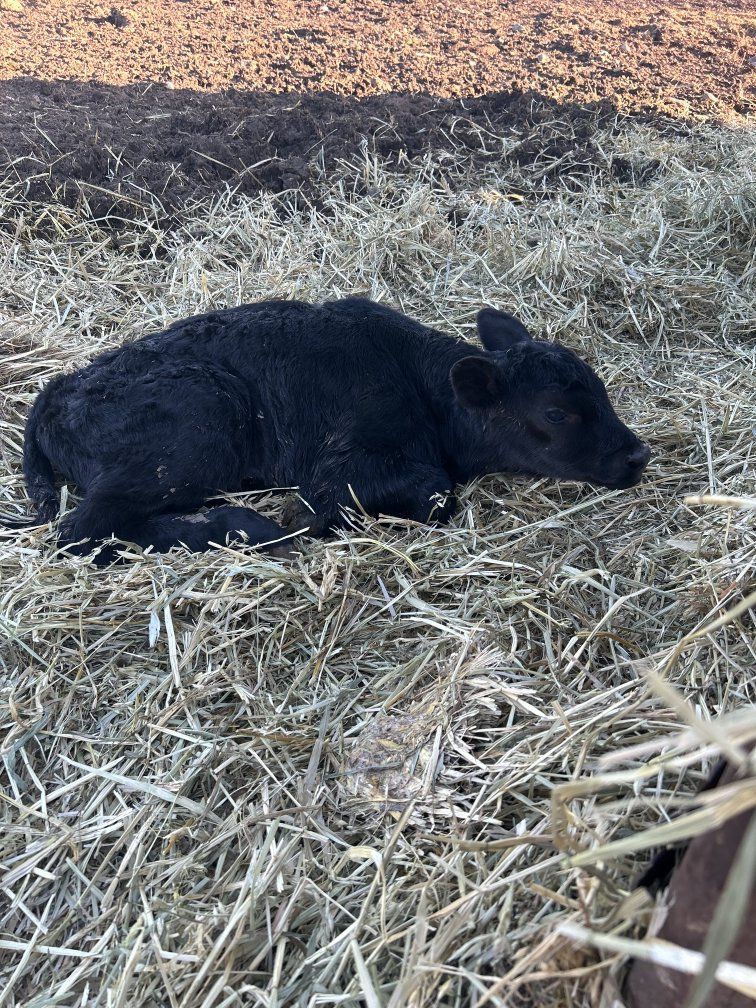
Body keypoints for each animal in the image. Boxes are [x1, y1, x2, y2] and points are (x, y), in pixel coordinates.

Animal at [9, 297, 650, 562]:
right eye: (557, 414)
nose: (637, 456)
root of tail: (58, 388)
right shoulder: (340, 469)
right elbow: (432, 495)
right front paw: (307, 523)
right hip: (197, 427)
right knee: (80, 531)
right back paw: (245, 528)